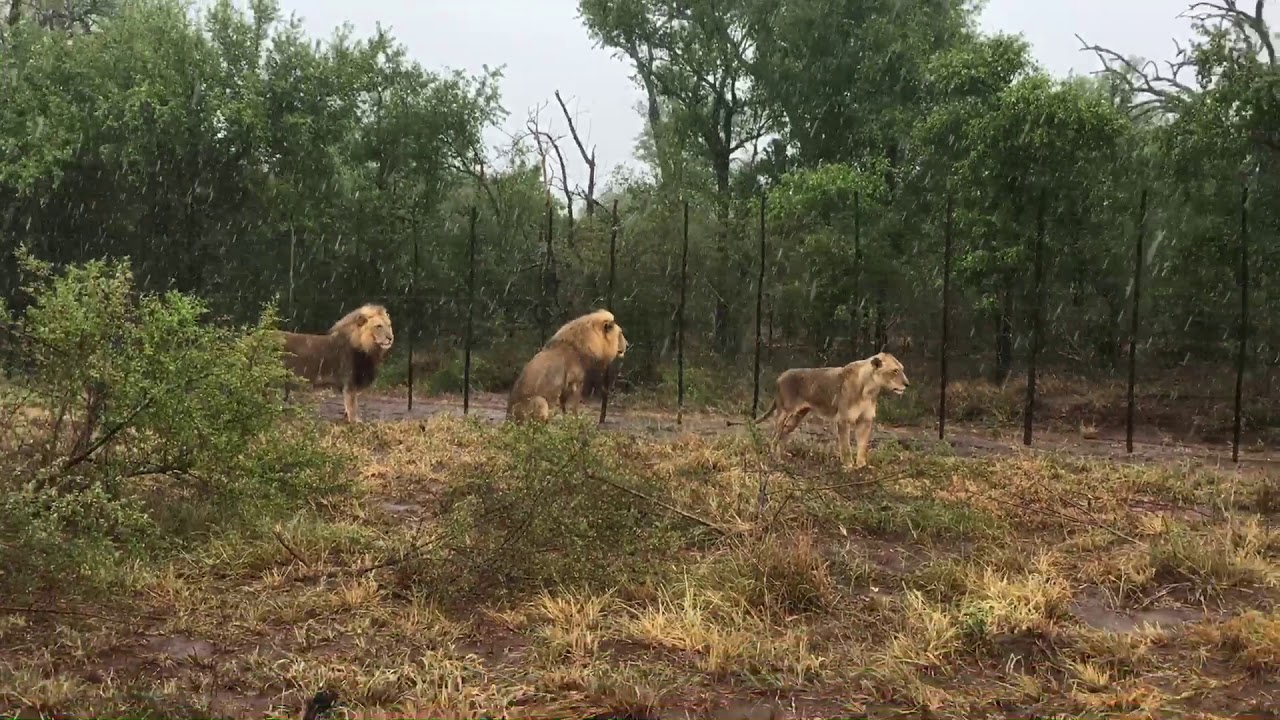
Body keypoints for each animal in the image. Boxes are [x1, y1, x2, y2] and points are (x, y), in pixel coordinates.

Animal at [754, 351, 909, 468]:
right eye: (895, 371)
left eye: (902, 369)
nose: (907, 384)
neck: (870, 389)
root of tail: (780, 377)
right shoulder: (843, 419)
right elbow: (845, 445)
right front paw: (848, 466)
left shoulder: (865, 420)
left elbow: (863, 444)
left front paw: (861, 465)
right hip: (785, 412)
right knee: (775, 434)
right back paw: (774, 456)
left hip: (797, 416)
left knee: (784, 433)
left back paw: (782, 456)